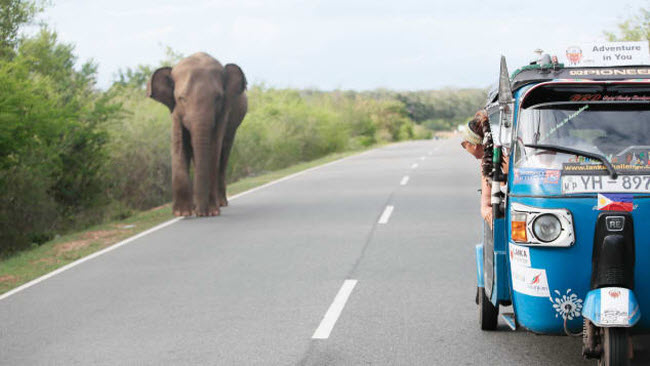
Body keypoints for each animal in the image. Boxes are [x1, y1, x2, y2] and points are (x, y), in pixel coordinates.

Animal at [147, 53, 246, 216]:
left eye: (218, 98)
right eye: (181, 98)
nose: (201, 212)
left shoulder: (223, 111)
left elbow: (214, 147)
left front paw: (210, 212)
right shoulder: (175, 111)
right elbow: (179, 145)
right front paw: (182, 213)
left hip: (234, 126)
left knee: (224, 153)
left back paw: (220, 203)